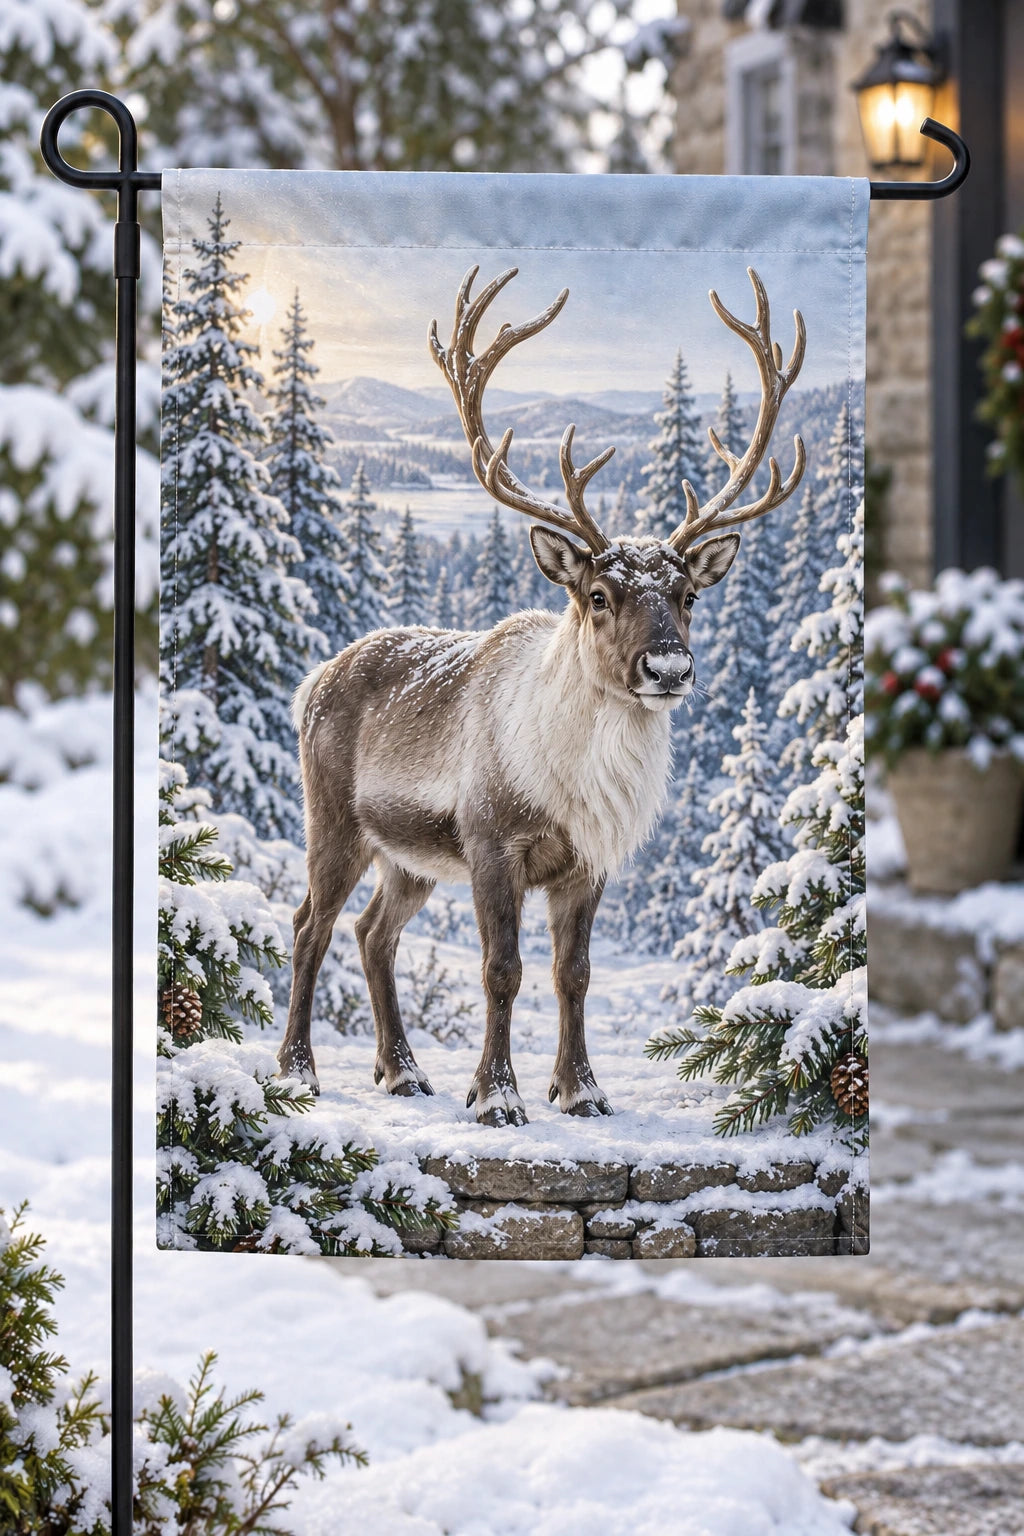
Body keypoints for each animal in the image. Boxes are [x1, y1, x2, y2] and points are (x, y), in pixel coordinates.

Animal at [278, 264, 806, 1126]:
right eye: (597, 593)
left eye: (688, 594)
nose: (668, 668)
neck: (572, 785)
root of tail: (312, 681)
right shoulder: (493, 842)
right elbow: (503, 970)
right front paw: (496, 1096)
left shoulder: (588, 862)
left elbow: (573, 974)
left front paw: (581, 1090)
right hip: (336, 821)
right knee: (309, 926)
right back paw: (298, 1070)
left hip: (409, 858)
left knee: (372, 933)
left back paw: (402, 1071)